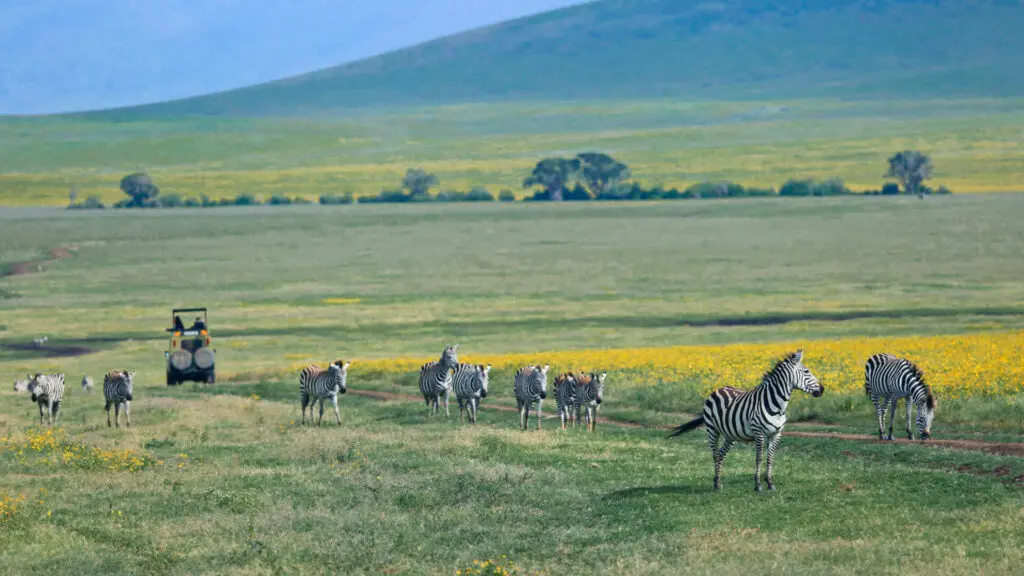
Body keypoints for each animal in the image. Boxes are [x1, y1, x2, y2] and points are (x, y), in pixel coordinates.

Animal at [667, 349, 824, 491]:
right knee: (715, 454)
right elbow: (759, 458)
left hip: (730, 435)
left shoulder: (776, 434)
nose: (822, 389)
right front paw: (758, 485)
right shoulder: (759, 434)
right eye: (807, 371)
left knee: (721, 454)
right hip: (712, 430)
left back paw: (718, 482)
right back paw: (716, 484)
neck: (777, 405)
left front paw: (770, 484)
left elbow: (770, 458)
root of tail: (719, 388)